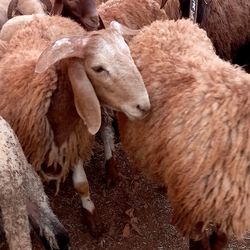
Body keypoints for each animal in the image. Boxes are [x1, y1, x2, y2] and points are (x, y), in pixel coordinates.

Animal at [0, 13, 149, 236]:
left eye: (129, 55)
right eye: (98, 68)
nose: (144, 106)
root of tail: (42, 15)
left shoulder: (76, 140)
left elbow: (81, 184)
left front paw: (90, 216)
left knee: (106, 131)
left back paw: (111, 169)